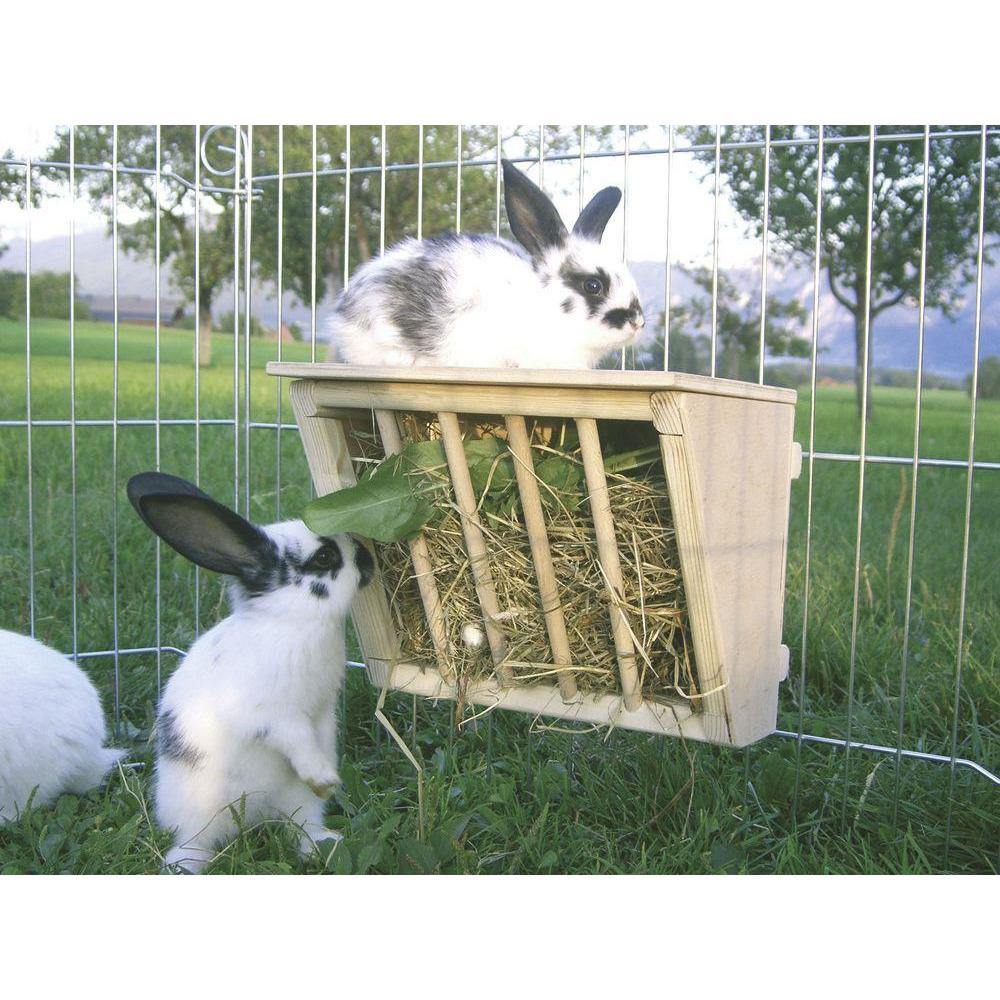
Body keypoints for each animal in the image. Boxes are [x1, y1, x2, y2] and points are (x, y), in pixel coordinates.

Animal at [126, 472, 376, 872]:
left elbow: (319, 738)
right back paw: (183, 867)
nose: (368, 558)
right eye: (324, 557)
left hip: (297, 802)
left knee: (300, 826)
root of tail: (256, 815)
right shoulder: (270, 714)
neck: (292, 620)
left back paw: (326, 845)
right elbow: (296, 738)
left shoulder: (322, 711)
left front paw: (328, 777)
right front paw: (324, 776)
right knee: (194, 842)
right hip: (199, 815)